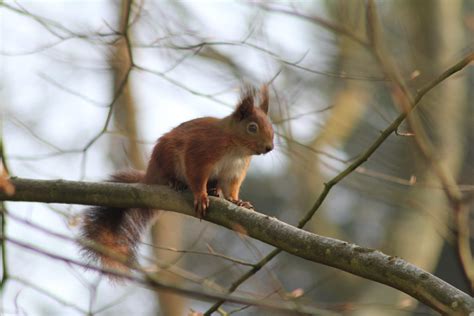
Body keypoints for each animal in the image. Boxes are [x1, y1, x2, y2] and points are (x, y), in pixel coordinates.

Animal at [80, 84, 274, 272]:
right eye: (252, 127)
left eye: (272, 127)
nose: (269, 147)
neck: (237, 149)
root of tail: (149, 176)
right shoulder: (201, 152)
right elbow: (196, 175)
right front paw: (201, 196)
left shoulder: (234, 171)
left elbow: (231, 188)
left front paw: (237, 201)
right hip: (166, 158)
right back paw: (176, 182)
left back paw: (214, 191)